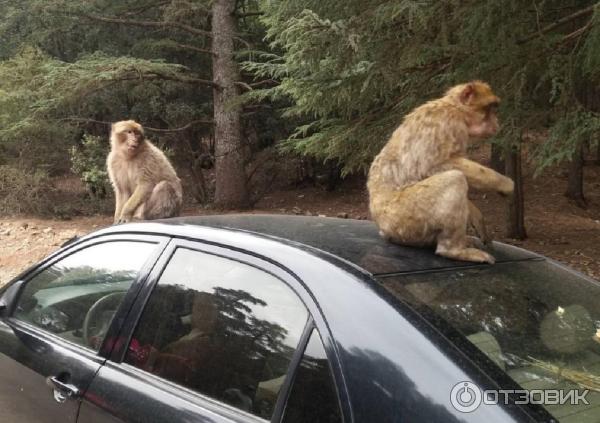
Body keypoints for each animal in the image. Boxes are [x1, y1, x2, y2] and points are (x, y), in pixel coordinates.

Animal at [366, 80, 516, 264]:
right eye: (491, 108)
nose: (496, 122)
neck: (455, 108)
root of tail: (382, 226)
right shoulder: (449, 123)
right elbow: (434, 166)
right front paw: (505, 184)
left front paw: (476, 215)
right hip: (403, 219)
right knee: (455, 178)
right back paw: (454, 251)